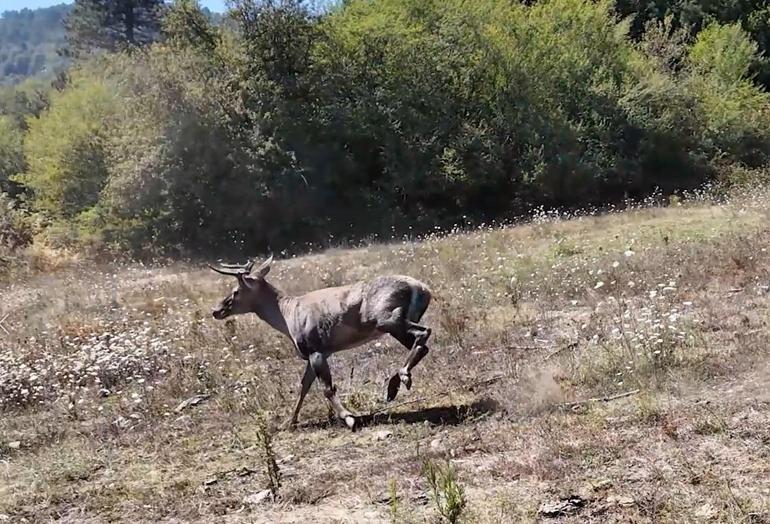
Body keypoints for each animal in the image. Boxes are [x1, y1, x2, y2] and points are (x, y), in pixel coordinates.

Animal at [208, 256, 432, 432]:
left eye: (236, 291)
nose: (216, 310)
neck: (287, 315)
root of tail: (422, 288)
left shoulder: (315, 348)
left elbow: (327, 388)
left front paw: (349, 419)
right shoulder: (318, 353)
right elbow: (304, 386)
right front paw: (289, 423)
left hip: (386, 318)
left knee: (424, 333)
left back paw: (401, 378)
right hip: (394, 323)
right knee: (422, 344)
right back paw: (394, 386)